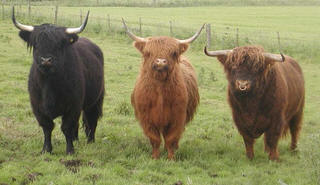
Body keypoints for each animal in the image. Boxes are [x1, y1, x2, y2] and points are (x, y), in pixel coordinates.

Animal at [12, 7, 104, 154]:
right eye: (36, 44)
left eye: (58, 45)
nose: (46, 60)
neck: (49, 85)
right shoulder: (37, 107)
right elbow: (47, 127)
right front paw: (46, 150)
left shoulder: (73, 106)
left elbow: (67, 127)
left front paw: (70, 150)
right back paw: (76, 140)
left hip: (95, 99)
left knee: (91, 119)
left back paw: (90, 141)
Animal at [122, 19, 202, 160]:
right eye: (148, 52)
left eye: (173, 53)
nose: (160, 62)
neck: (160, 91)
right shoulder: (146, 117)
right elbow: (155, 139)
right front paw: (155, 157)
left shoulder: (177, 117)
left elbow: (171, 138)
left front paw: (171, 158)